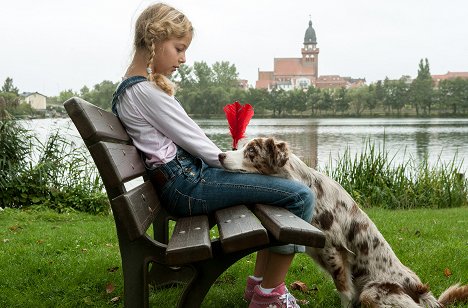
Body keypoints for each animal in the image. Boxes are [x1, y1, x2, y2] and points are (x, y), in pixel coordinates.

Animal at [219, 138, 468, 308]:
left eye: (251, 151)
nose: (221, 155)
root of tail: (422, 292)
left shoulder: (333, 250)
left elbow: (344, 291)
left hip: (373, 292)